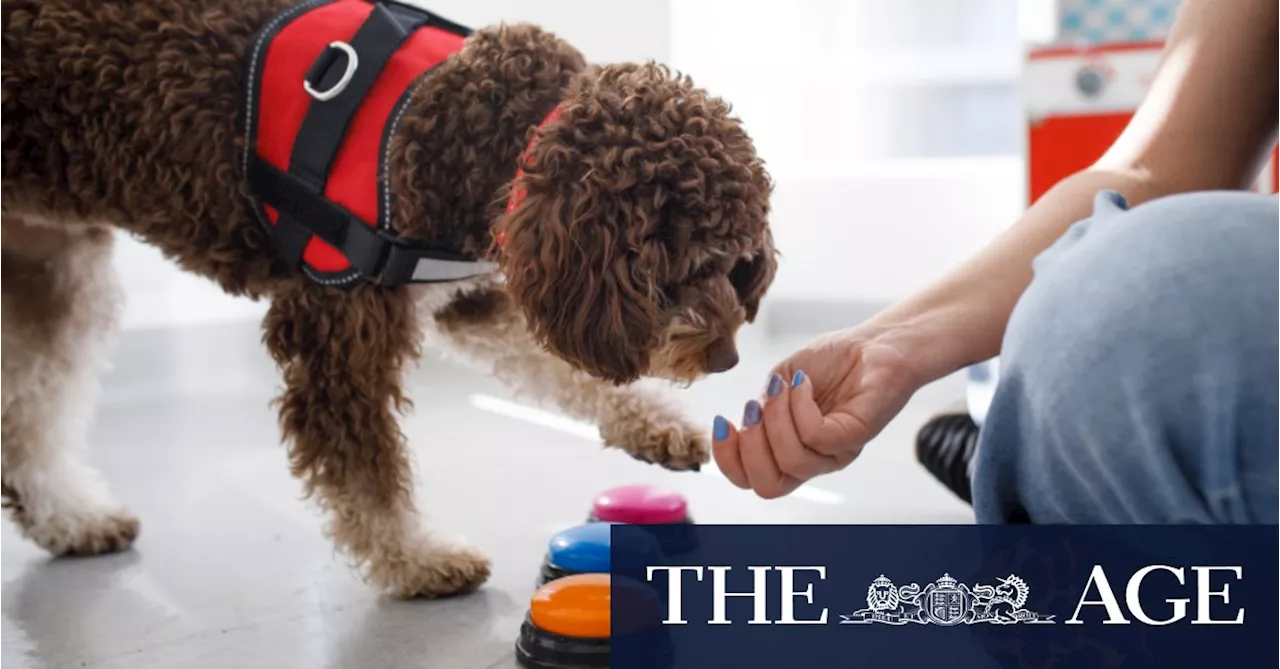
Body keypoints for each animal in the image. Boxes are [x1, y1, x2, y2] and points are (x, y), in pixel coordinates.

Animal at [0, 0, 773, 596]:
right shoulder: (337, 333)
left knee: (26, 422)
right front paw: (420, 559)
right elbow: (365, 476)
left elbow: (561, 370)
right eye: (683, 266)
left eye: (736, 261)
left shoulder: (476, 298)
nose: (729, 357)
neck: (471, 132)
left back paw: (70, 517)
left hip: (53, 271)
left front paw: (655, 424)